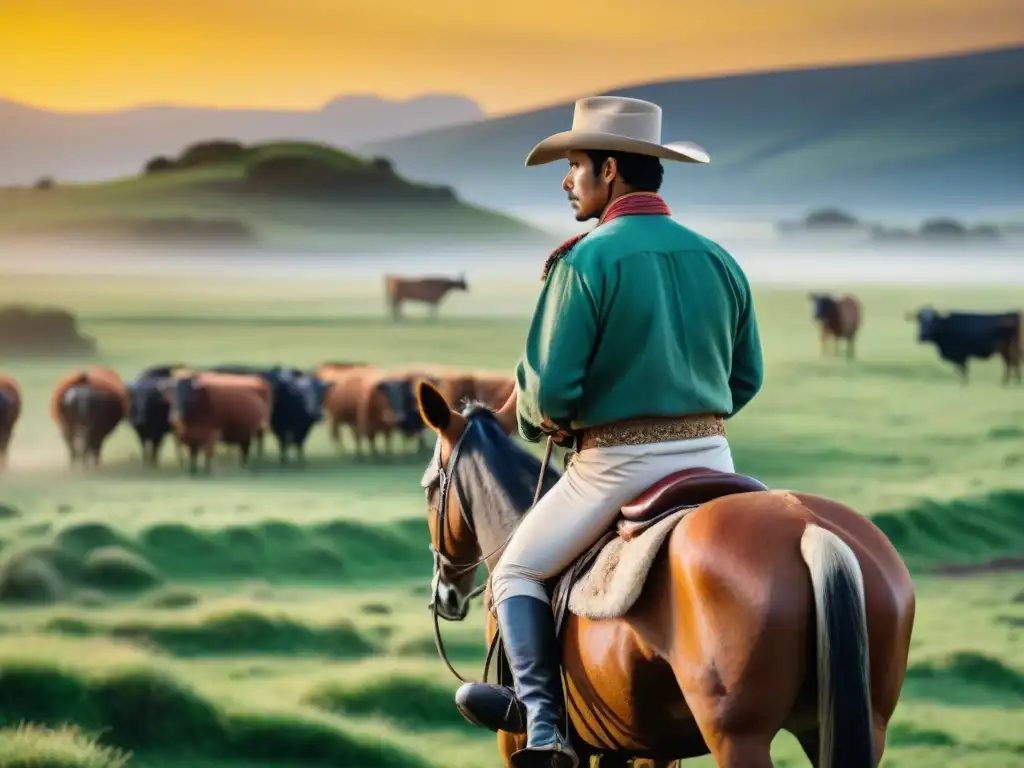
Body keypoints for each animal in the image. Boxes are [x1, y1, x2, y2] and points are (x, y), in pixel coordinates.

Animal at [411, 382, 917, 768]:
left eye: (430, 487)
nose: (445, 594)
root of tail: (808, 527)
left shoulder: (520, 744)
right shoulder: (640, 747)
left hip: (739, 739)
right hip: (853, 724)